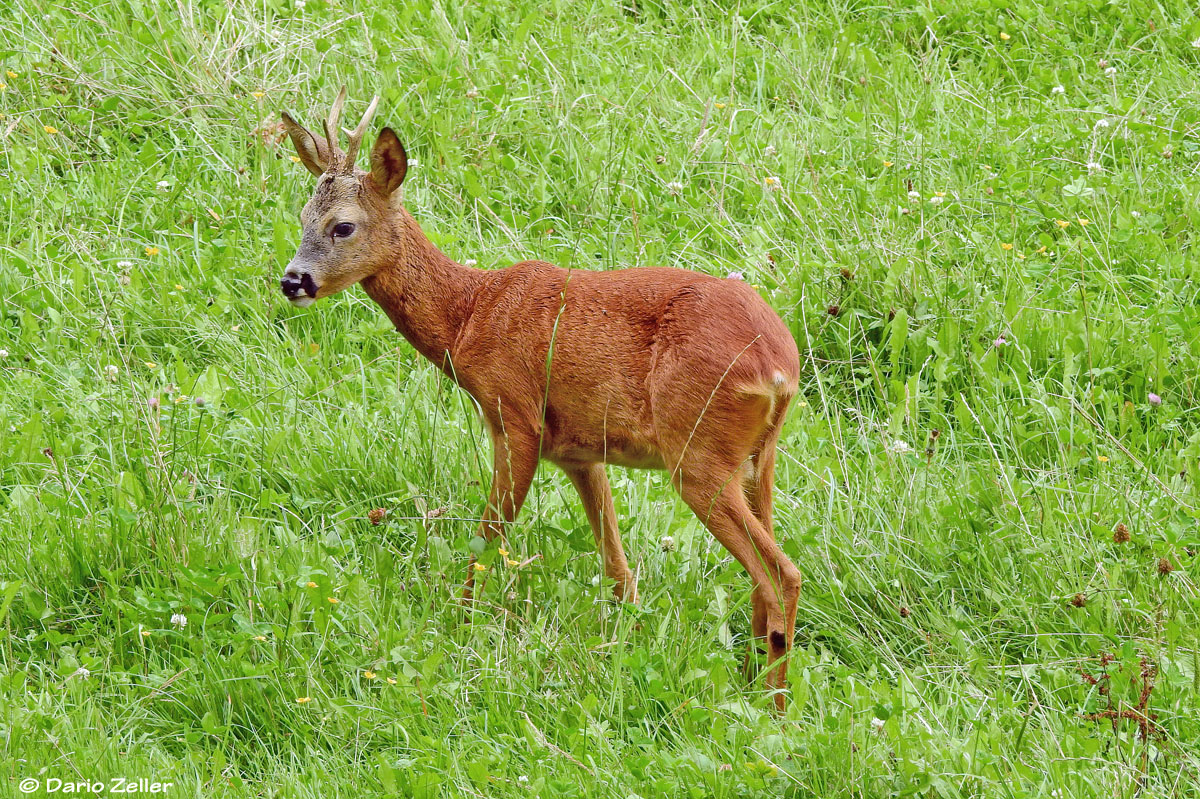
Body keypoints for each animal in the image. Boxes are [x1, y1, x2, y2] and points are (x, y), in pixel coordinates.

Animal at [279, 88, 801, 710]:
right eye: (301, 218)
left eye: (343, 227)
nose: (292, 280)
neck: (469, 316)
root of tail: (779, 367)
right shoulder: (581, 451)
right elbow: (618, 570)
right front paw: (624, 645)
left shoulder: (515, 417)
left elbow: (487, 539)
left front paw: (460, 628)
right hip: (756, 457)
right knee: (763, 576)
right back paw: (755, 684)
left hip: (698, 451)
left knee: (782, 574)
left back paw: (773, 707)